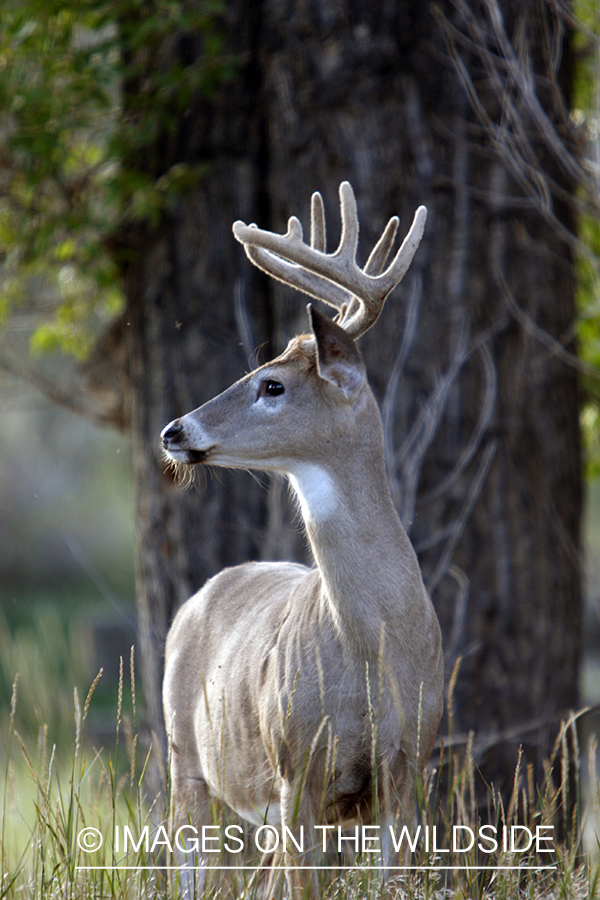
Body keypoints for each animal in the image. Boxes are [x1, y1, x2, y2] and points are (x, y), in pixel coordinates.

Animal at [162, 183, 442, 900]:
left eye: (272, 384)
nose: (174, 431)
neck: (372, 648)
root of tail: (198, 596)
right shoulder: (297, 771)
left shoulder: (409, 764)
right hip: (184, 756)